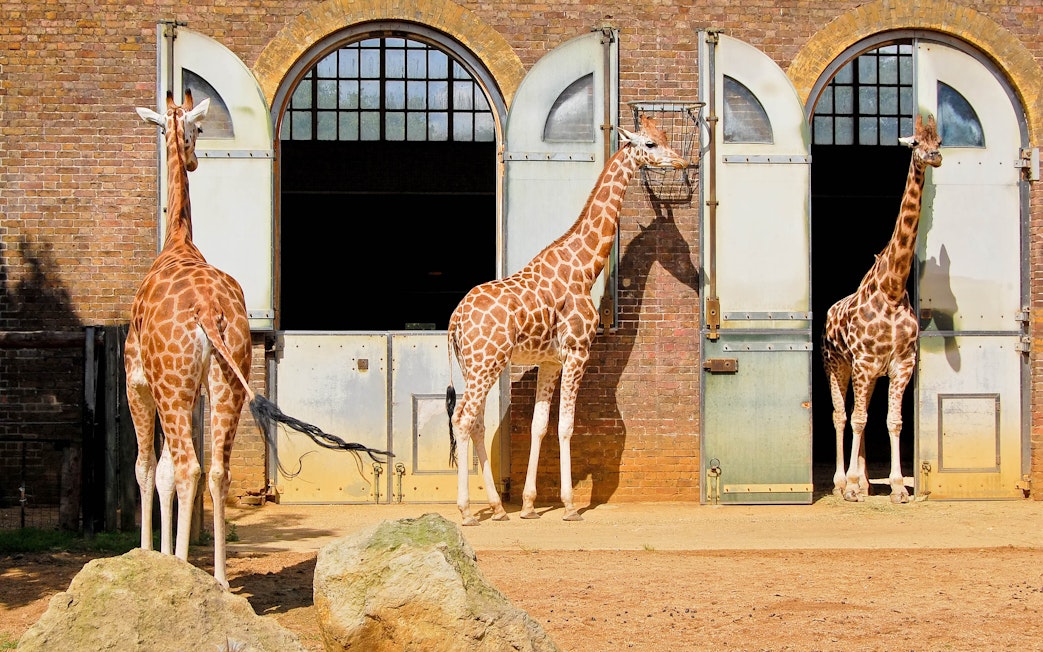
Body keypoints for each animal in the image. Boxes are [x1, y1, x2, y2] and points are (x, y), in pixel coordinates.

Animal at [131, 91, 389, 586]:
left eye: (198, 128)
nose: (193, 159)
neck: (177, 241)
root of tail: (206, 311)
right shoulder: (193, 390)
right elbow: (165, 469)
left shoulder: (138, 382)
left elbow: (149, 468)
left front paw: (150, 556)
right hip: (227, 380)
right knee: (217, 470)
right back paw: (218, 579)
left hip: (175, 385)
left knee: (188, 466)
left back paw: (189, 571)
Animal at [445, 115, 687, 525]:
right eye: (651, 143)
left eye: (666, 137)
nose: (683, 161)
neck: (584, 267)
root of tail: (455, 320)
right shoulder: (577, 352)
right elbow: (567, 426)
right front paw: (571, 505)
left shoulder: (550, 361)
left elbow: (540, 426)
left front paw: (529, 505)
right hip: (486, 363)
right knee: (463, 419)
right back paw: (466, 512)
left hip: (475, 366)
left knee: (474, 422)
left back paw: (499, 508)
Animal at [821, 113, 942, 504]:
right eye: (916, 143)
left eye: (939, 140)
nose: (935, 157)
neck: (891, 288)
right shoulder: (862, 363)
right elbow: (856, 419)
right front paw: (850, 487)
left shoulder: (901, 364)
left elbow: (893, 421)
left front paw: (898, 488)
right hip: (838, 365)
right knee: (842, 415)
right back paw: (842, 483)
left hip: (870, 374)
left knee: (863, 413)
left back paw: (863, 482)